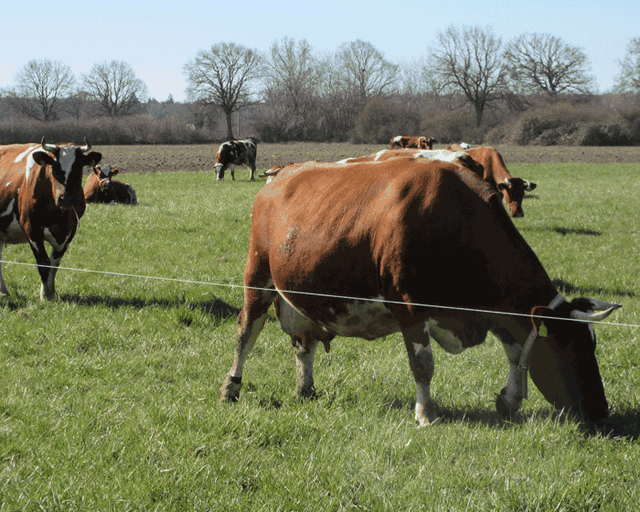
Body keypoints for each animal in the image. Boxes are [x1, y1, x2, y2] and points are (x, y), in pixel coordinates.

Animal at [0, 138, 102, 300]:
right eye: (54, 168)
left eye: (78, 168)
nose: (66, 198)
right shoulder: (32, 229)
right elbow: (43, 263)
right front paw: (45, 296)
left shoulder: (69, 232)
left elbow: (54, 264)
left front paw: (51, 292)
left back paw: (3, 291)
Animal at [220, 157, 620, 425]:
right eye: (567, 347)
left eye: (592, 345)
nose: (601, 411)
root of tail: (281, 174)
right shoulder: (409, 308)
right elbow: (423, 364)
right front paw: (426, 412)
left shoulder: (496, 310)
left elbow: (516, 350)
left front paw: (509, 399)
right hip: (257, 276)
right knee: (246, 333)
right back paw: (231, 387)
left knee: (304, 344)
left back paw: (305, 388)